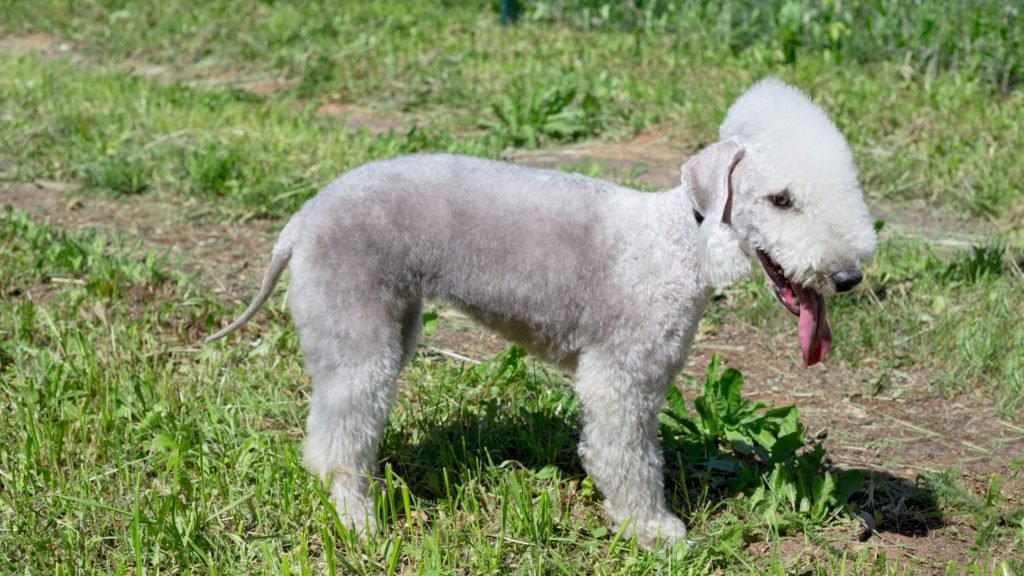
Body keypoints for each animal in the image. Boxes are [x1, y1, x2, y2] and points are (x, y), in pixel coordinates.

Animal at [205, 77, 872, 545]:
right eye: (780, 200)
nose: (848, 276)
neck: (681, 241)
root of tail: (299, 223)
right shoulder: (620, 379)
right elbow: (628, 459)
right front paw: (652, 530)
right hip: (356, 333)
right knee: (337, 441)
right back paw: (357, 520)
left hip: (395, 321)